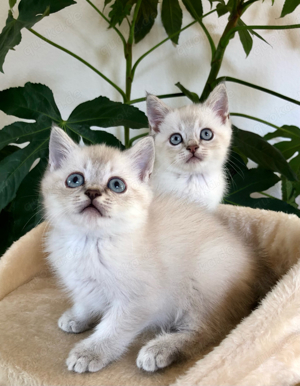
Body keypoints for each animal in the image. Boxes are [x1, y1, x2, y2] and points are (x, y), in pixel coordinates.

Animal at [42, 126, 256, 374]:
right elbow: (86, 302)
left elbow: (113, 328)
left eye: (116, 185)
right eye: (75, 180)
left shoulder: (139, 300)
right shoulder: (83, 285)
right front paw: (78, 317)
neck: (90, 242)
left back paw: (159, 349)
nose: (93, 192)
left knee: (208, 331)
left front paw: (91, 351)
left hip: (202, 281)